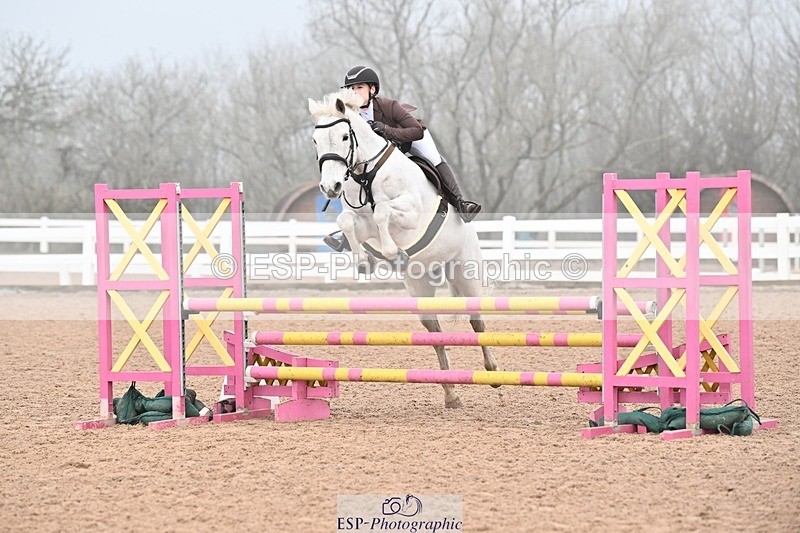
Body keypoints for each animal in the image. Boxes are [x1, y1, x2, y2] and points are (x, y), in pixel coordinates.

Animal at [307, 89, 498, 408]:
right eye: (315, 140)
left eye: (345, 137)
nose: (330, 187)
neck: (365, 172)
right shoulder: (361, 221)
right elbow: (347, 220)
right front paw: (365, 261)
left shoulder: (410, 212)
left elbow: (384, 211)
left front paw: (393, 253)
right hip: (419, 286)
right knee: (435, 334)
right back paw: (451, 394)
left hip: (465, 272)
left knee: (477, 322)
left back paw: (493, 371)